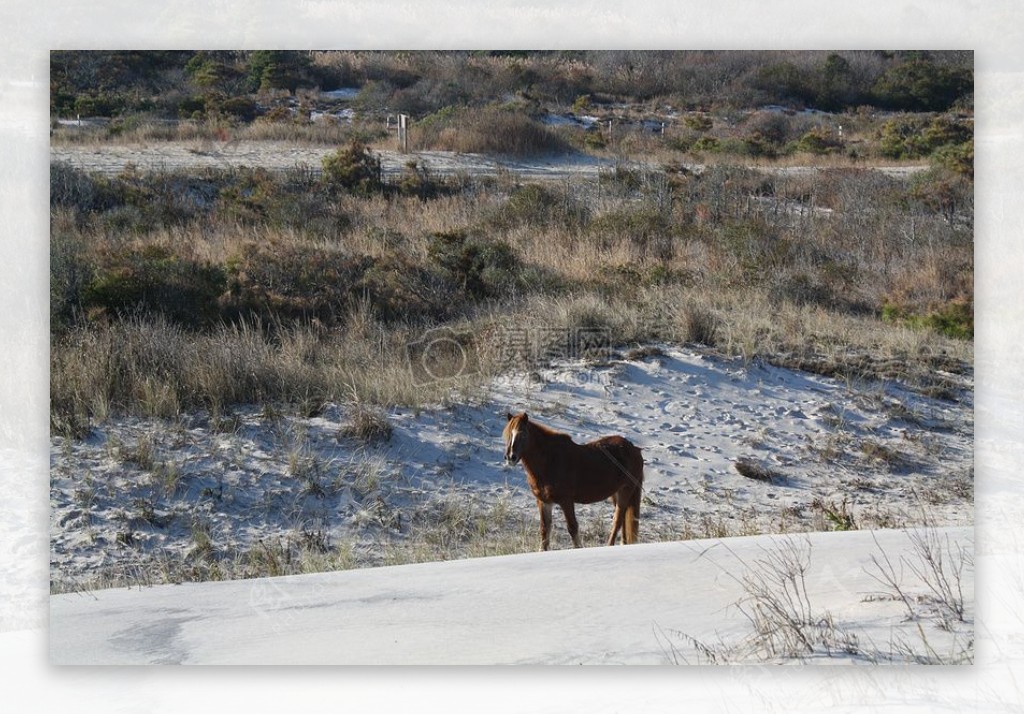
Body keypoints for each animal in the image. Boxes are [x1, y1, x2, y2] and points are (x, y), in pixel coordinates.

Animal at [501, 409, 643, 549]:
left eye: (523, 434)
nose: (510, 457)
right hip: (615, 494)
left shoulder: (566, 501)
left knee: (617, 521)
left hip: (625, 491)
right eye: (508, 435)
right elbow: (545, 530)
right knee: (622, 520)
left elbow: (572, 528)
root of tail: (634, 449)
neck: (550, 460)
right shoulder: (544, 502)